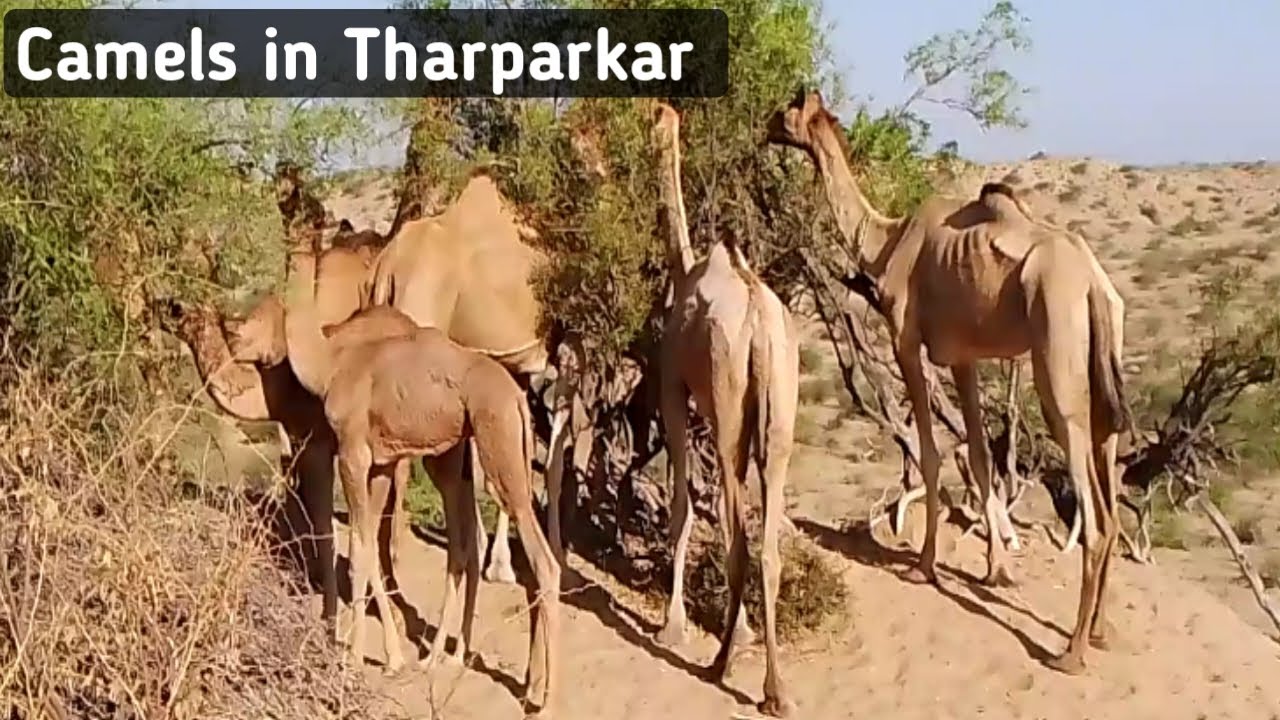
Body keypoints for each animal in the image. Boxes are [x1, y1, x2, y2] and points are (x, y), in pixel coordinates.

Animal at [282, 237, 561, 717]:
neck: (328, 365)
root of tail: (515, 398)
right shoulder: (377, 462)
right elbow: (367, 544)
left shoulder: (352, 454)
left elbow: (359, 547)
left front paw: (356, 658)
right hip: (485, 451)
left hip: (498, 450)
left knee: (538, 560)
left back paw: (543, 697)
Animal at [766, 90, 1131, 673]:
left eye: (789, 110)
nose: (766, 126)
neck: (886, 240)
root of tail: (1094, 287)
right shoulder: (964, 357)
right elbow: (978, 458)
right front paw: (996, 570)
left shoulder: (906, 340)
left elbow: (930, 453)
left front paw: (925, 564)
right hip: (1105, 364)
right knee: (1112, 500)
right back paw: (1100, 632)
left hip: (1057, 362)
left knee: (1093, 518)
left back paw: (1069, 653)